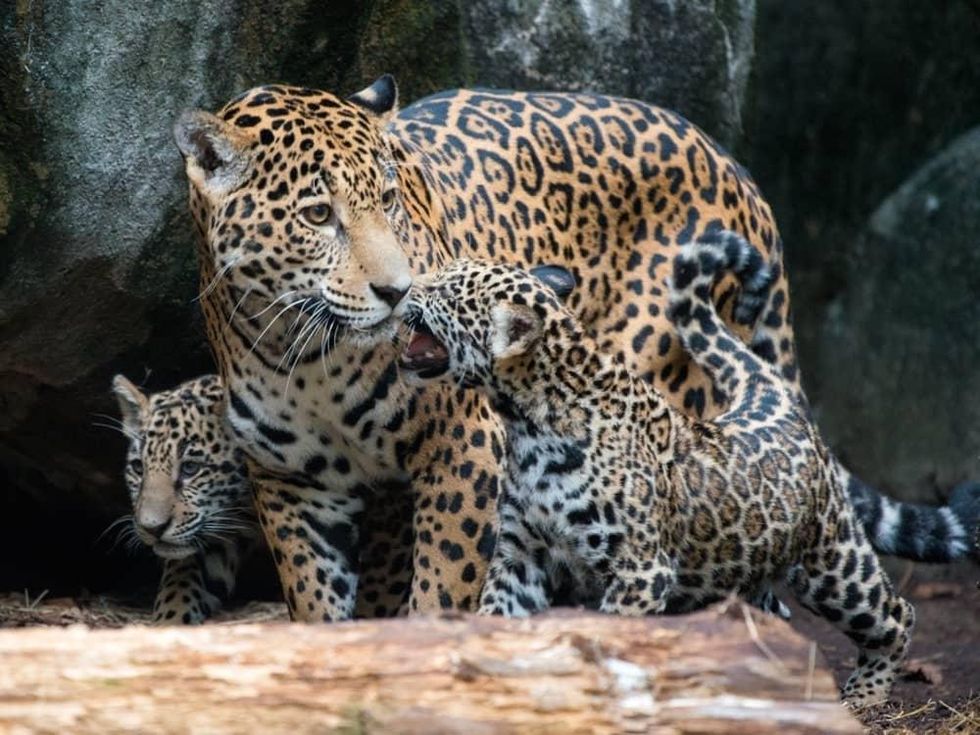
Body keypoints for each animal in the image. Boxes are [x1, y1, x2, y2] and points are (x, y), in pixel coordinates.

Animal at [172, 74, 978, 621]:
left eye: (390, 200)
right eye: (318, 214)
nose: (398, 292)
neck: (309, 357)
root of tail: (734, 164)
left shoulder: (464, 447)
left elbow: (442, 588)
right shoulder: (288, 484)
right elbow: (316, 601)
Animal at [396, 234, 914, 706]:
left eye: (446, 290)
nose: (404, 290)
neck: (529, 425)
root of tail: (771, 399)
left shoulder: (640, 571)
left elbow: (612, 634)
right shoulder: (521, 555)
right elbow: (497, 616)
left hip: (831, 561)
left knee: (896, 613)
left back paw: (865, 693)